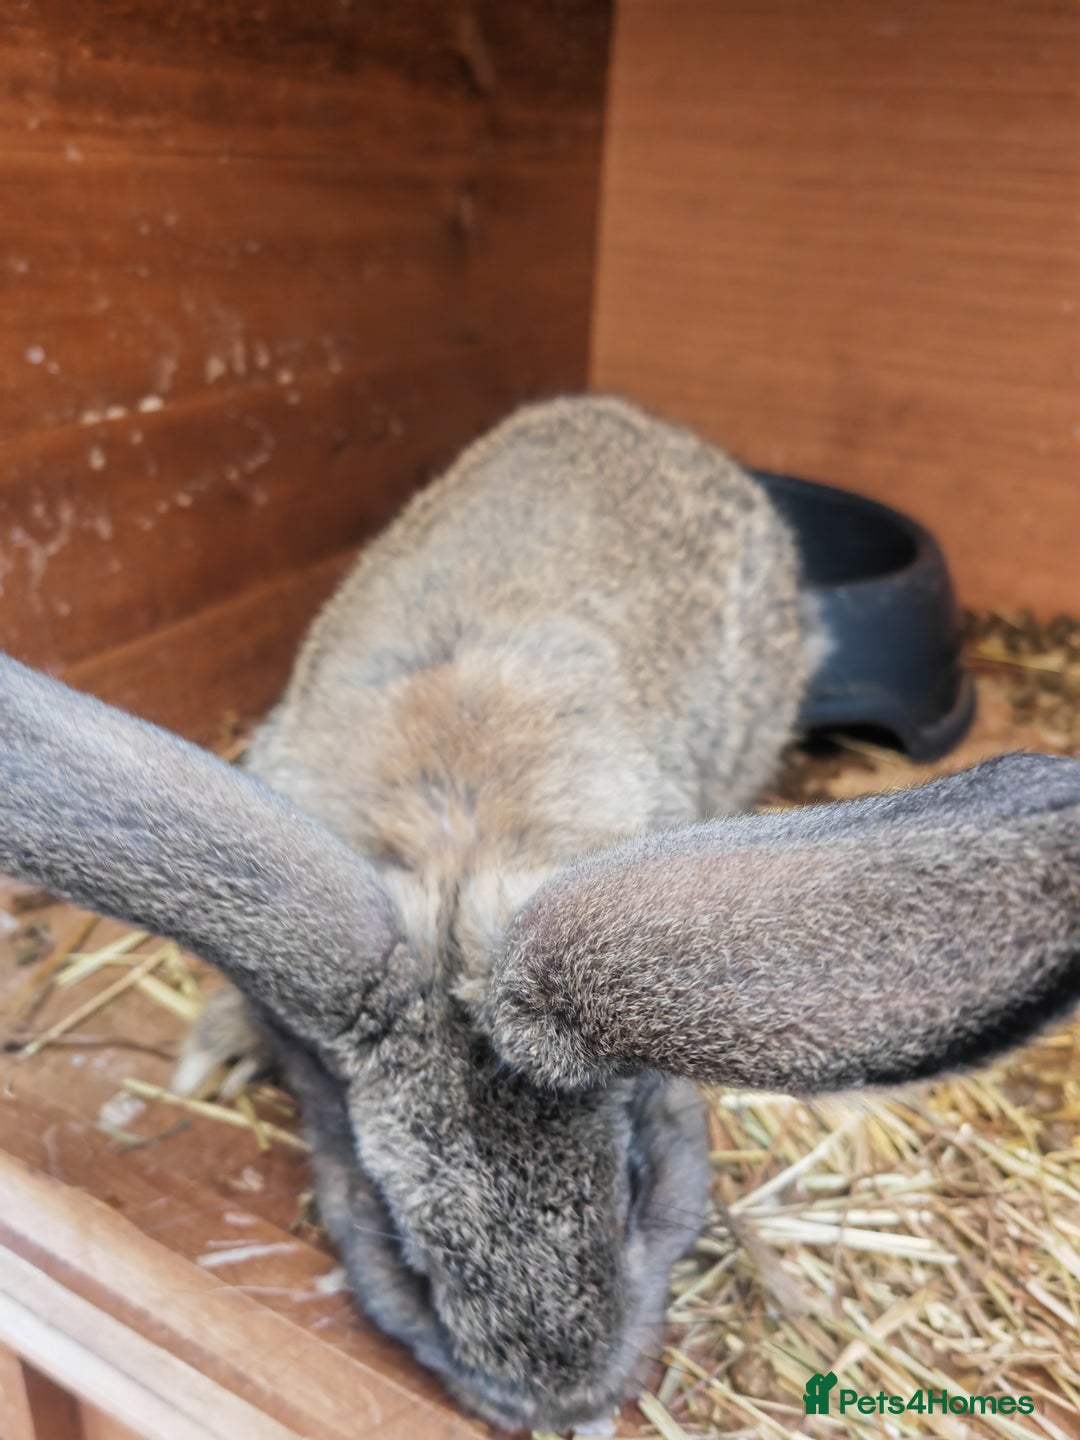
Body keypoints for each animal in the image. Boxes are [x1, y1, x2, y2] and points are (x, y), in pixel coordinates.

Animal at [0, 395, 1077, 1435]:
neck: (456, 858)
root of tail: (629, 417)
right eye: (403, 1247)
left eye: (637, 1188)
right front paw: (224, 1050)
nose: (560, 1406)